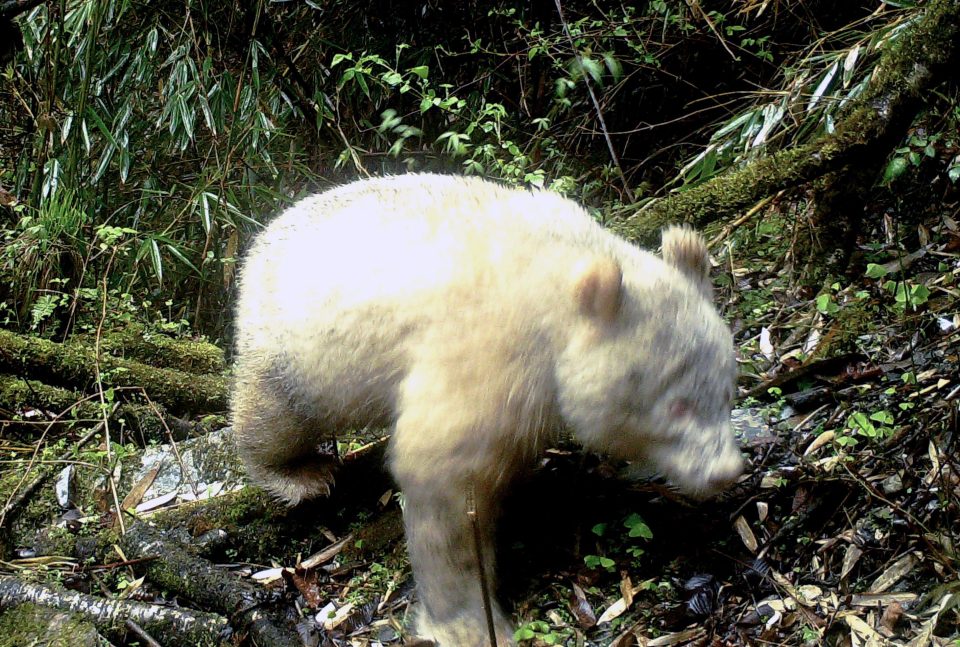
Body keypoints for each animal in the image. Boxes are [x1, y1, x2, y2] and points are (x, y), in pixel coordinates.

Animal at [232, 175, 744, 644]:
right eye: (677, 406)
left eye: (727, 391)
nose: (725, 471)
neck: (557, 282)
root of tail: (260, 239)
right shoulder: (488, 350)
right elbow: (443, 476)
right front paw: (467, 621)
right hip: (295, 347)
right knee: (275, 415)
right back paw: (298, 474)